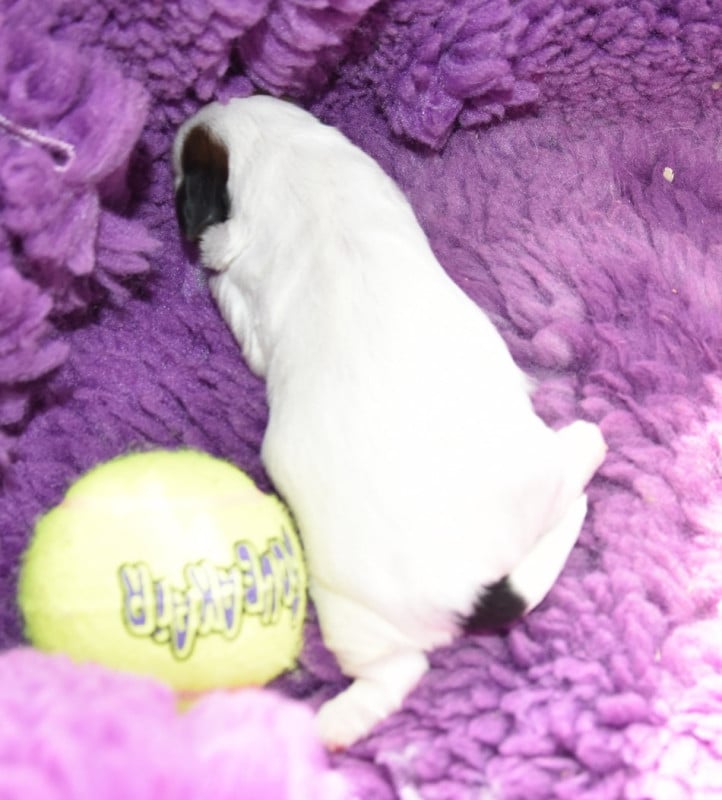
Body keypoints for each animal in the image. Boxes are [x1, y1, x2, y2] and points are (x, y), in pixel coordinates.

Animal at [172, 95, 607, 749]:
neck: (278, 156)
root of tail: (468, 586)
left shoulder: (244, 296)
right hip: (529, 467)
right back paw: (586, 439)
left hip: (352, 616)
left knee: (395, 674)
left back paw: (331, 723)